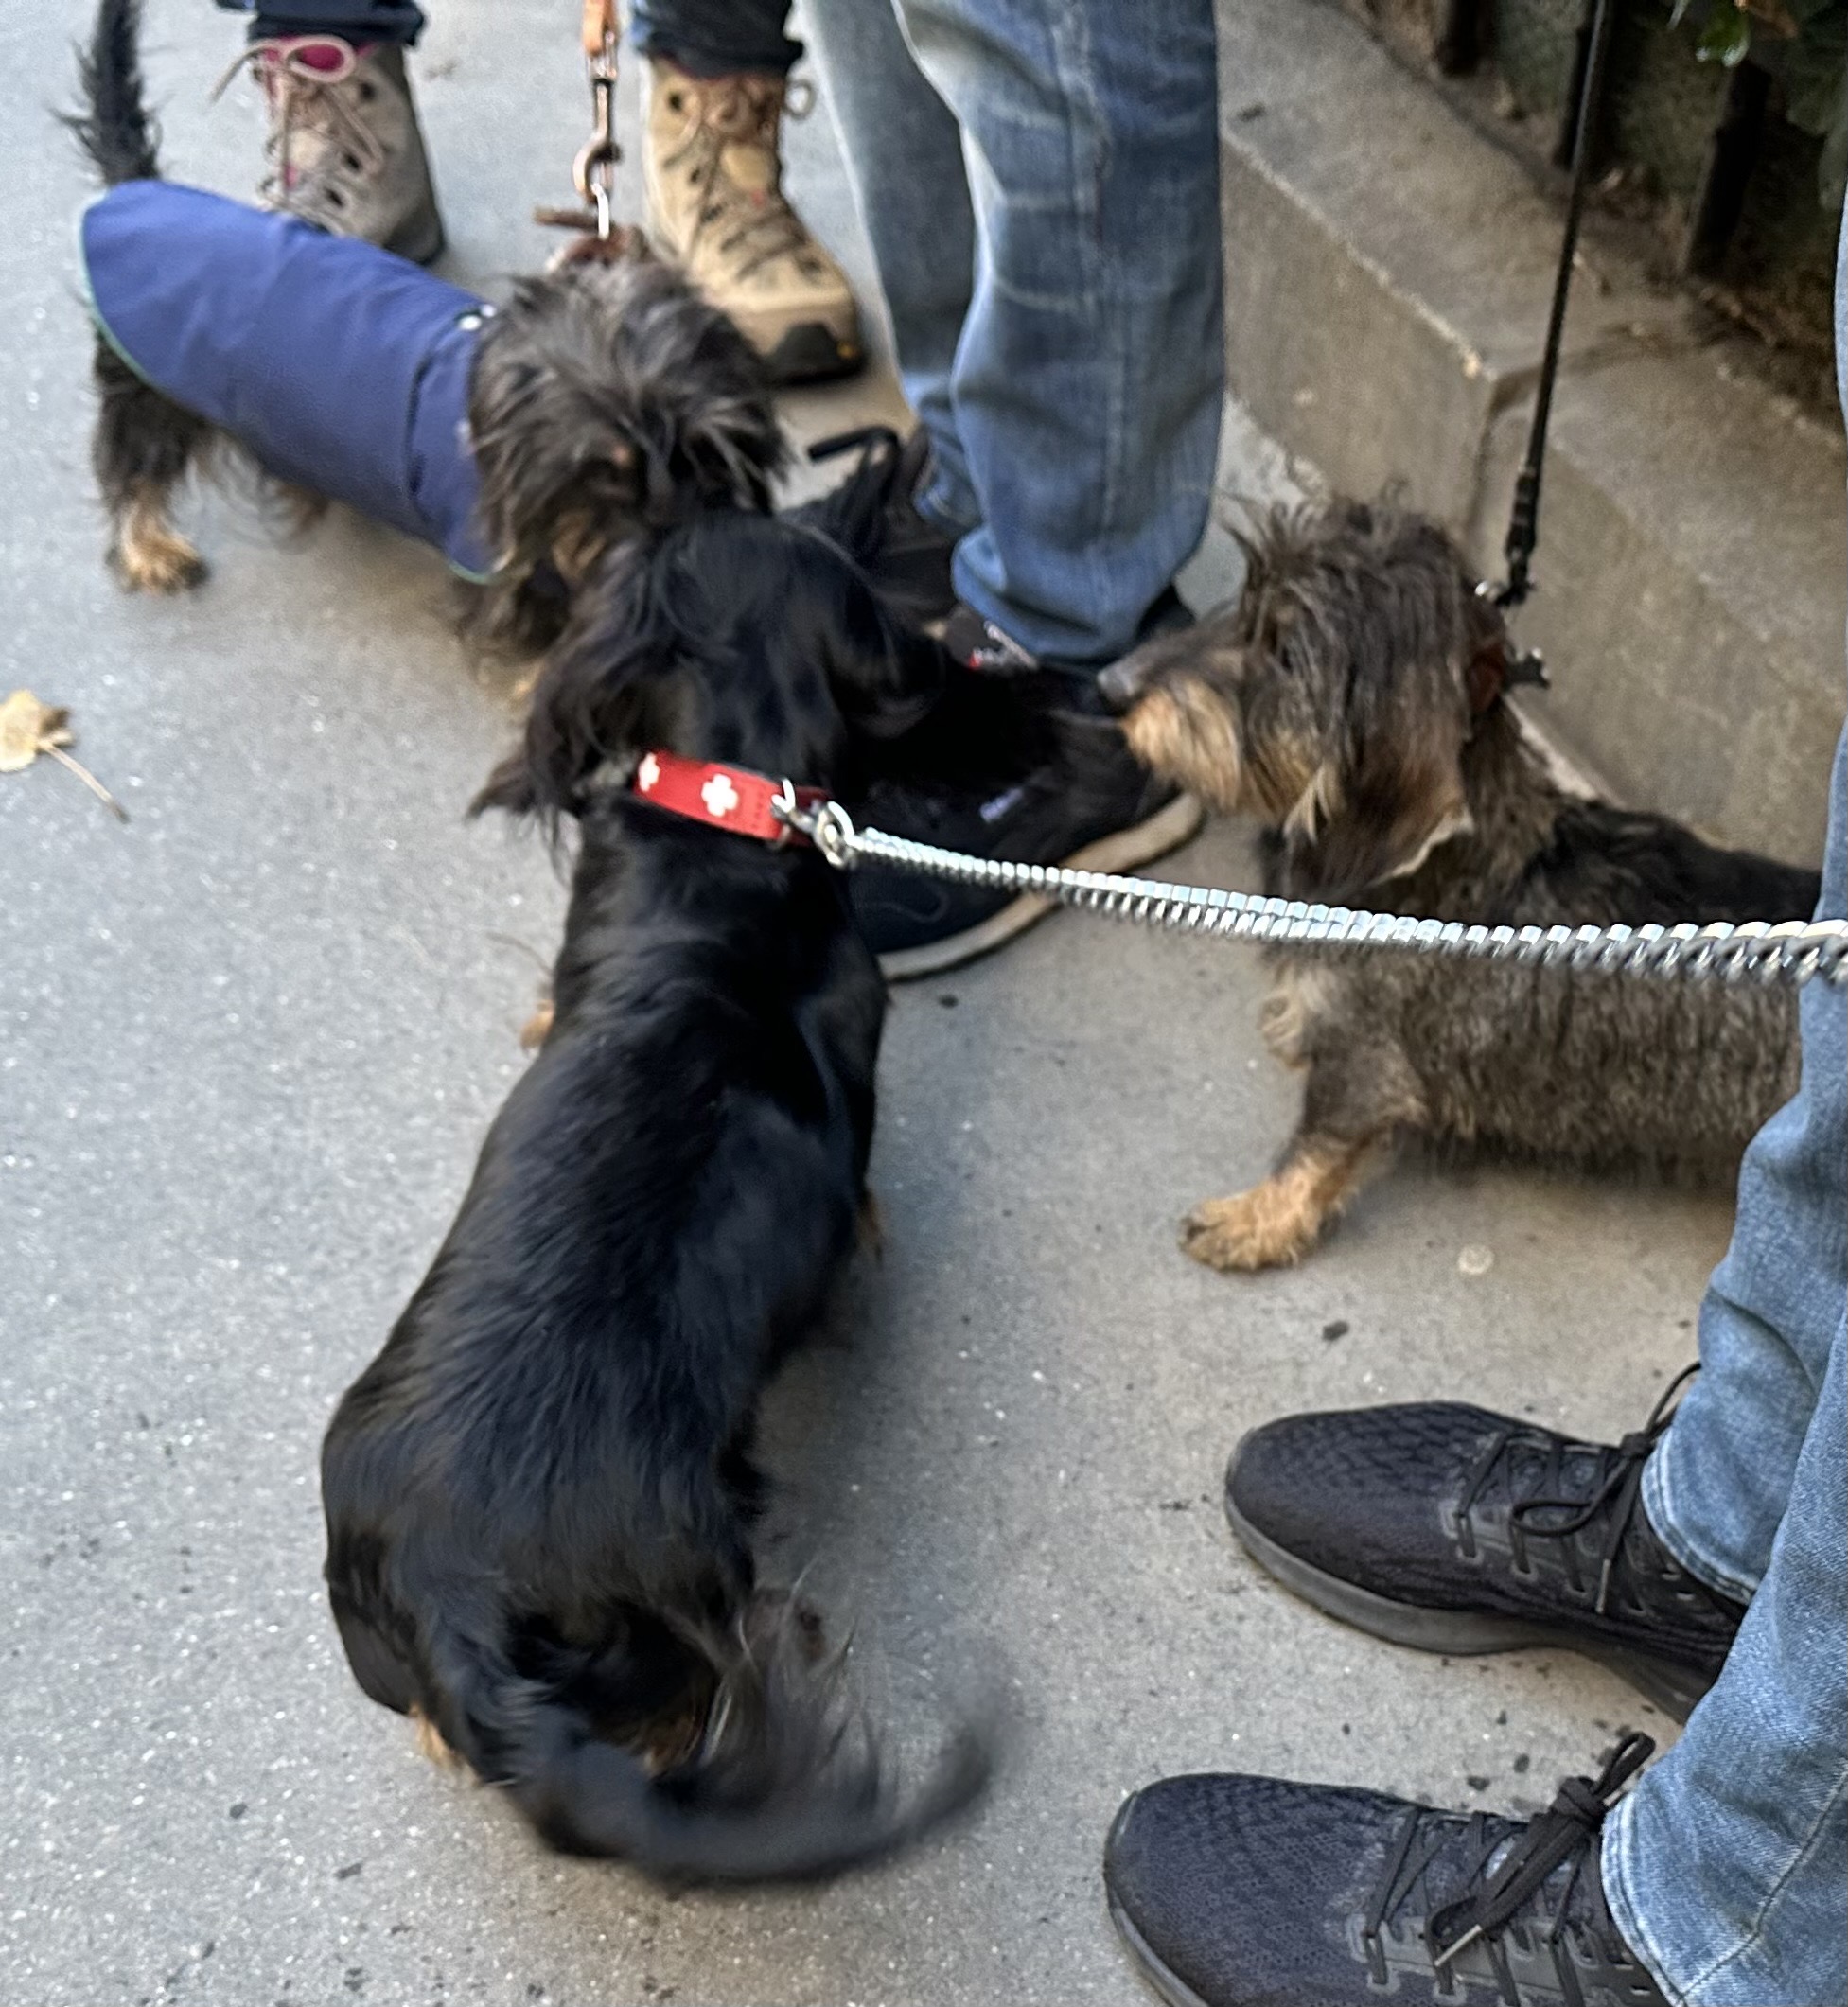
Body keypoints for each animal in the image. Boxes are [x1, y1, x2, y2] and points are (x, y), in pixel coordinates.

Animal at [1100, 500, 1813, 1268]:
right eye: (1243, 607)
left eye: (1284, 652)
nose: (1109, 686)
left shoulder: (1366, 1060)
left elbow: (1316, 1149)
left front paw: (1254, 1220)